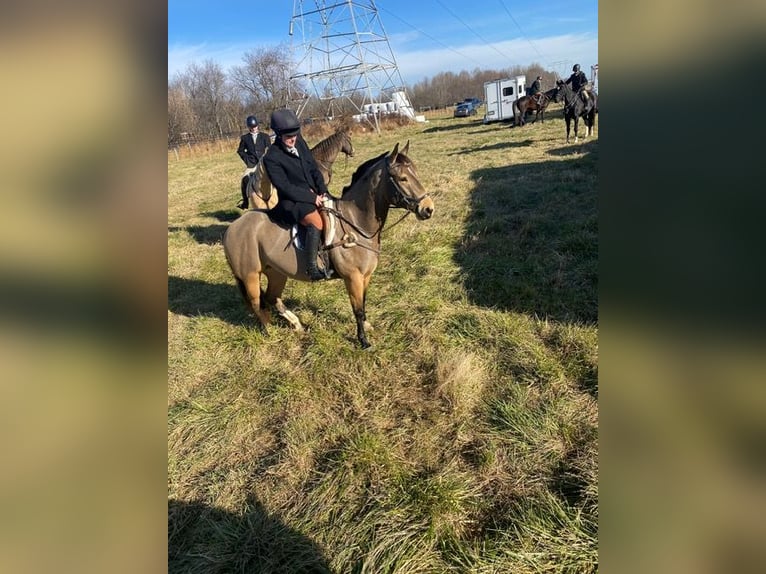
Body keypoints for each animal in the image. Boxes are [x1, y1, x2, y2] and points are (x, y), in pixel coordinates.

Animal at [225, 143, 436, 352]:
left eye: (415, 172)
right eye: (402, 178)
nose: (428, 209)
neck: (356, 223)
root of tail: (232, 228)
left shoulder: (365, 276)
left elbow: (363, 303)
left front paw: (367, 326)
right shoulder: (353, 277)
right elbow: (357, 309)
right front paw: (364, 342)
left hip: (277, 272)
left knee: (272, 298)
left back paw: (296, 325)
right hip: (250, 277)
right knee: (257, 304)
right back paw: (270, 331)